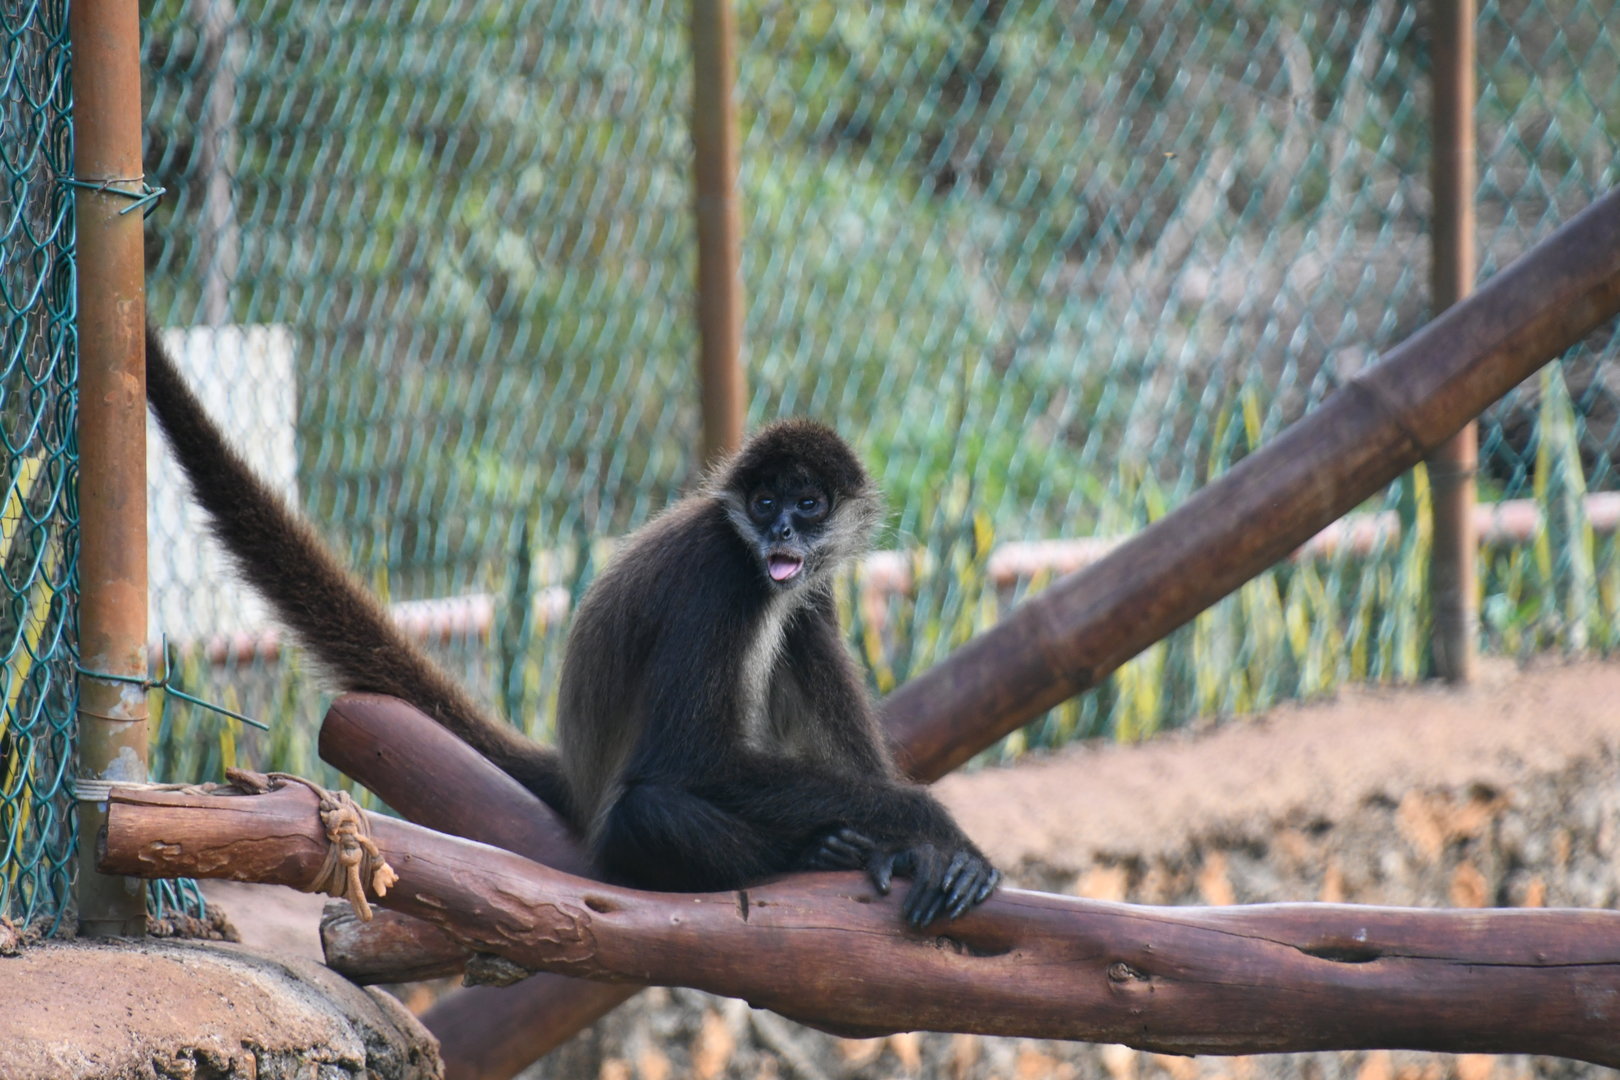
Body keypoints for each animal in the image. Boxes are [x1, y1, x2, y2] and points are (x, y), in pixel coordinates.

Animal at [144, 322, 999, 926]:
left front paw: (921, 850)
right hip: (625, 818)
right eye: (764, 504)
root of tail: (580, 783)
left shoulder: (803, 581)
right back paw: (819, 846)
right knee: (650, 812)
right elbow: (689, 758)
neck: (755, 556)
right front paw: (925, 828)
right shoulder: (722, 574)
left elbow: (804, 628)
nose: (783, 530)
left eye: (809, 503)